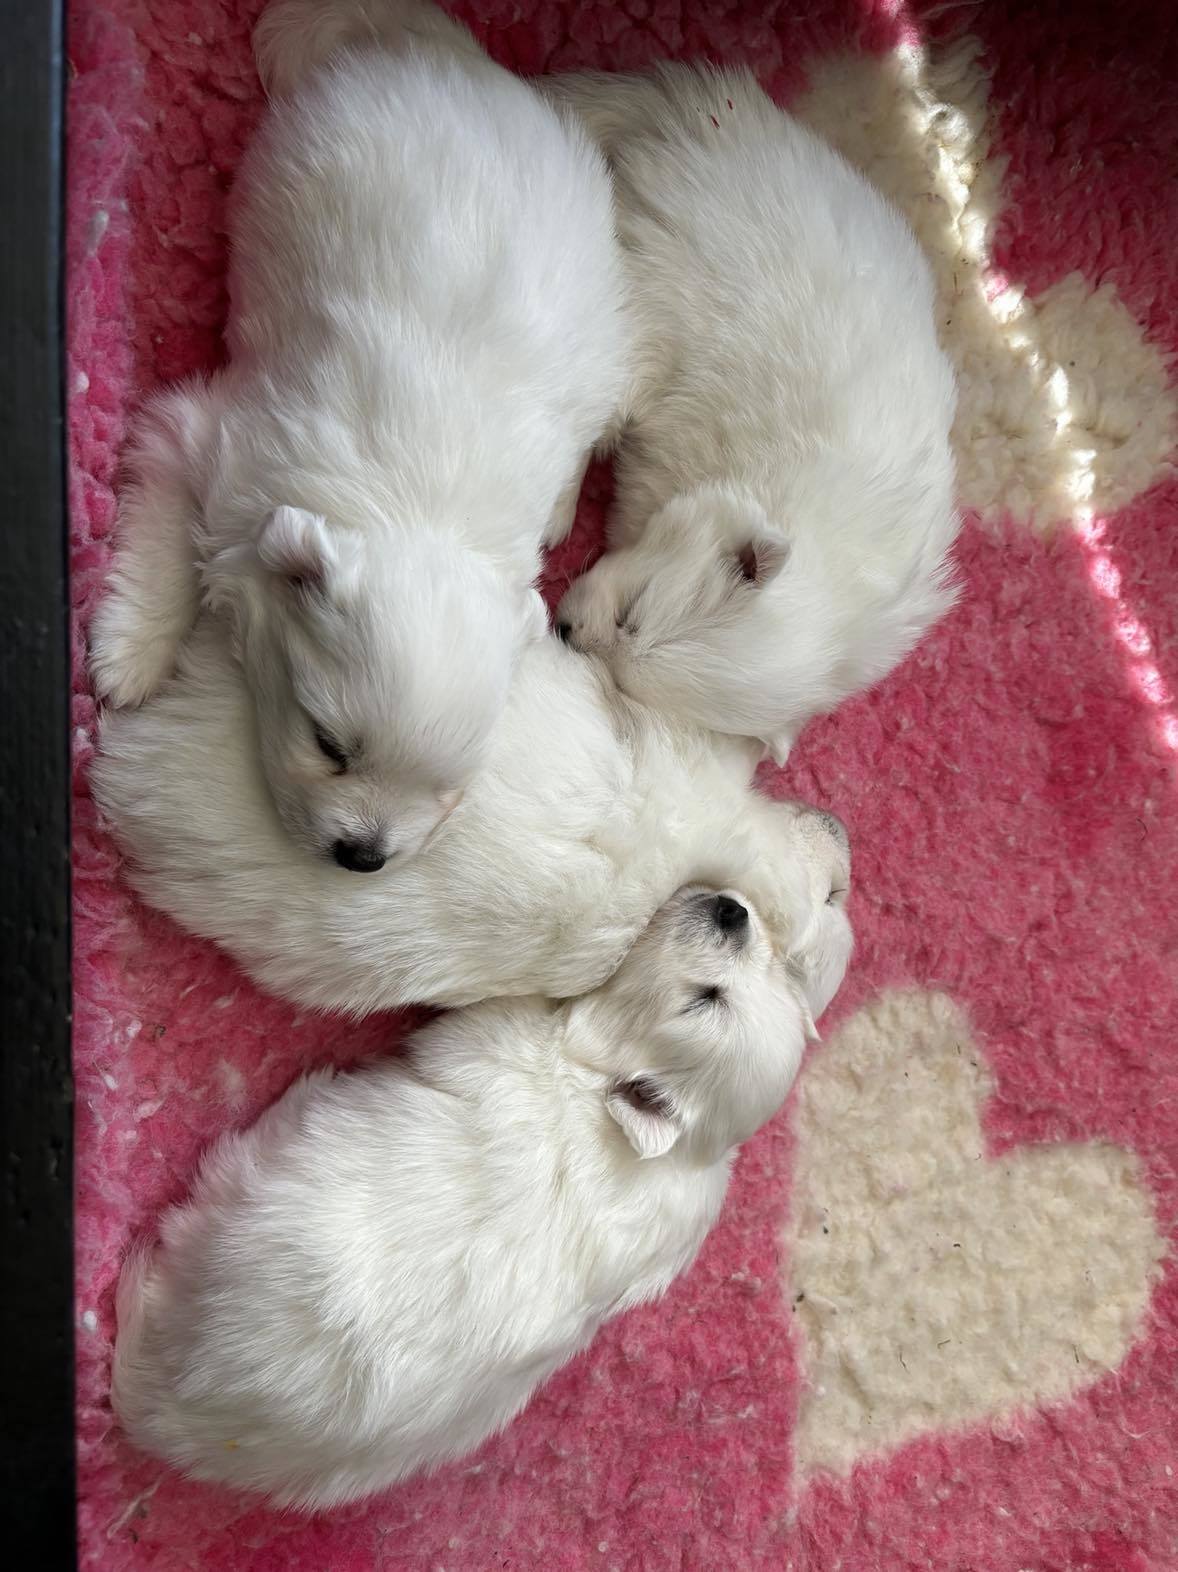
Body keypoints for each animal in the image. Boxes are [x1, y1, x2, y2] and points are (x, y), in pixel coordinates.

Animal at [89, 0, 629, 870]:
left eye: (448, 788)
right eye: (330, 746)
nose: (363, 855)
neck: (418, 516)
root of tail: (449, 54)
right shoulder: (204, 436)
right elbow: (164, 541)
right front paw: (130, 654)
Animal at [113, 884, 818, 1509]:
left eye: (704, 1000)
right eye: (768, 968)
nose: (732, 909)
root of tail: (169, 1414)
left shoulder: (493, 1032)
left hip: (252, 1179)